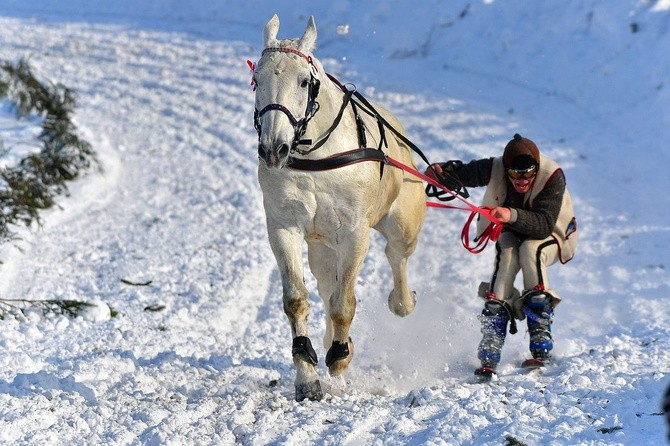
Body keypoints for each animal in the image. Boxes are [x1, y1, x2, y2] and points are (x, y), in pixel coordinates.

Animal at [255, 13, 428, 400]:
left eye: (304, 81)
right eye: (256, 79)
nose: (273, 149)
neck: (316, 158)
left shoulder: (354, 234)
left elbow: (343, 304)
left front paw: (338, 361)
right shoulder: (283, 227)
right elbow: (297, 300)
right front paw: (306, 374)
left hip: (403, 221)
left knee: (397, 256)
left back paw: (401, 302)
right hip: (321, 245)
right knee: (325, 284)